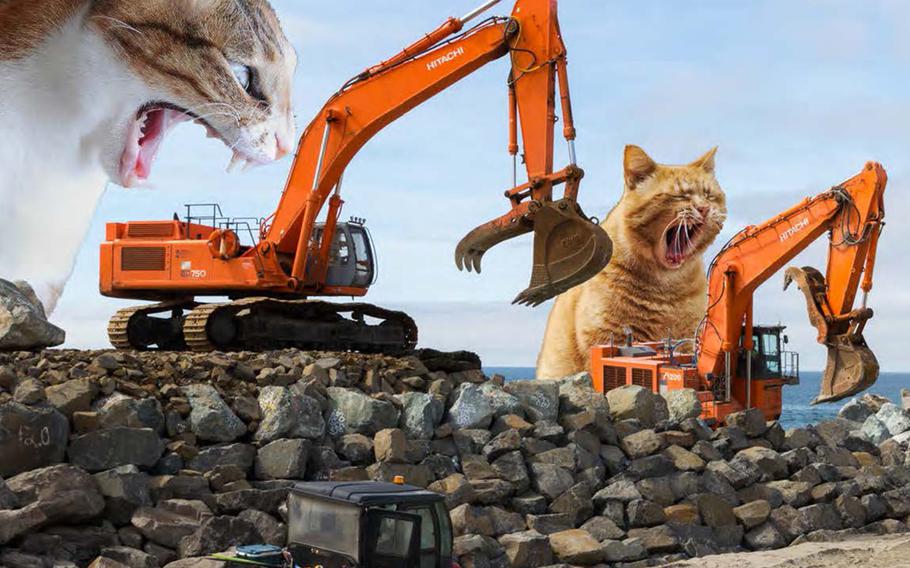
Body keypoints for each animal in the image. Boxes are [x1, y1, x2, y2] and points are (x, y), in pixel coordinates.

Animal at [536, 144, 732, 380]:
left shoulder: (689, 339)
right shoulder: (608, 338)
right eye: (679, 196)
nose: (704, 208)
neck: (667, 288)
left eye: (709, 195)